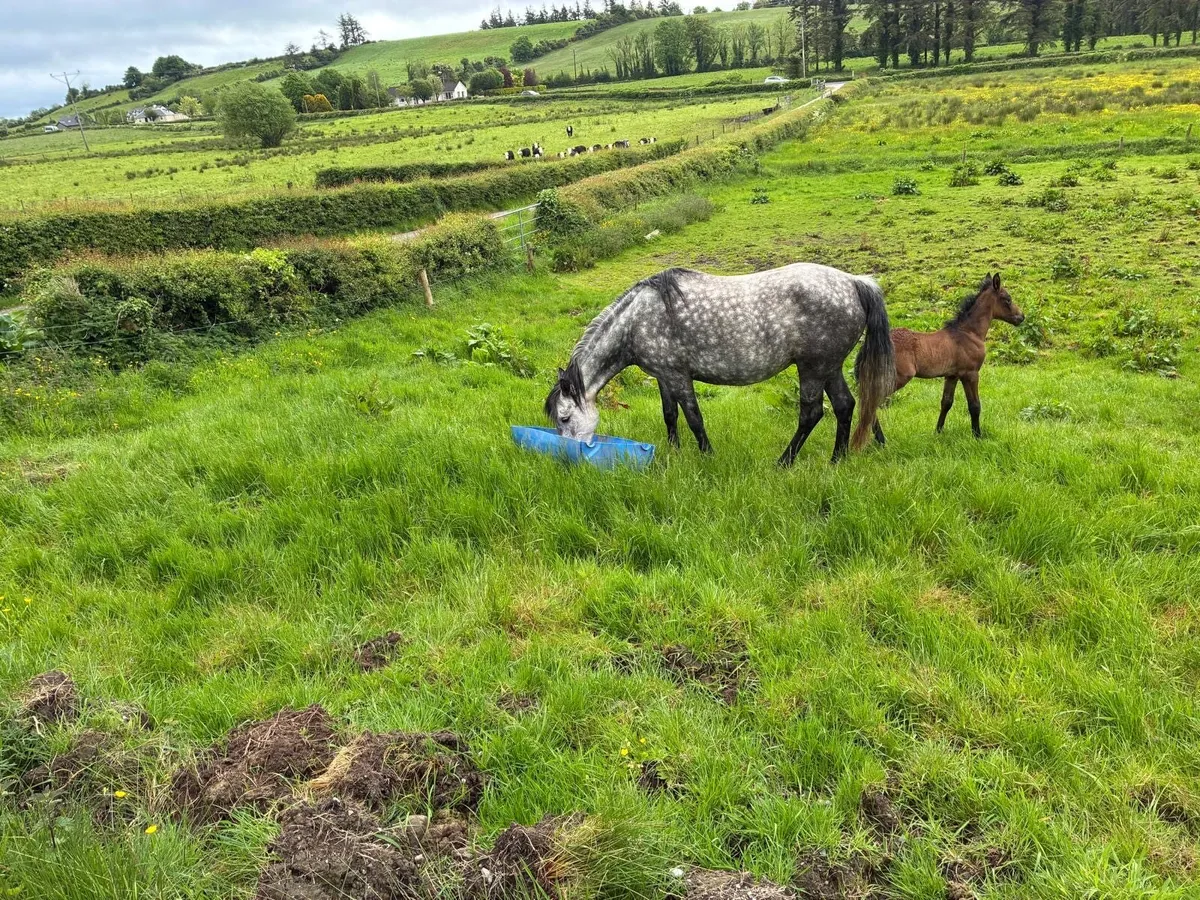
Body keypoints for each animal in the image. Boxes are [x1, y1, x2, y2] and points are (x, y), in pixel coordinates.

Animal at [544, 265, 895, 465]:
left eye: (564, 417)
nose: (565, 456)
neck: (637, 320)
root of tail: (855, 282)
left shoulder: (678, 376)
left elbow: (694, 418)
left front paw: (707, 456)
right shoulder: (663, 377)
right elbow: (670, 415)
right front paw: (675, 452)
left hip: (812, 368)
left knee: (811, 413)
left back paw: (784, 462)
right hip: (829, 367)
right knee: (845, 406)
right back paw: (837, 460)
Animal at [873, 272, 1023, 443]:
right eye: (1007, 299)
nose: (1021, 317)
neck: (968, 333)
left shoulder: (952, 376)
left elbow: (946, 402)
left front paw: (938, 432)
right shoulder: (970, 374)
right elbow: (974, 406)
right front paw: (977, 436)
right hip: (897, 378)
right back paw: (881, 440)